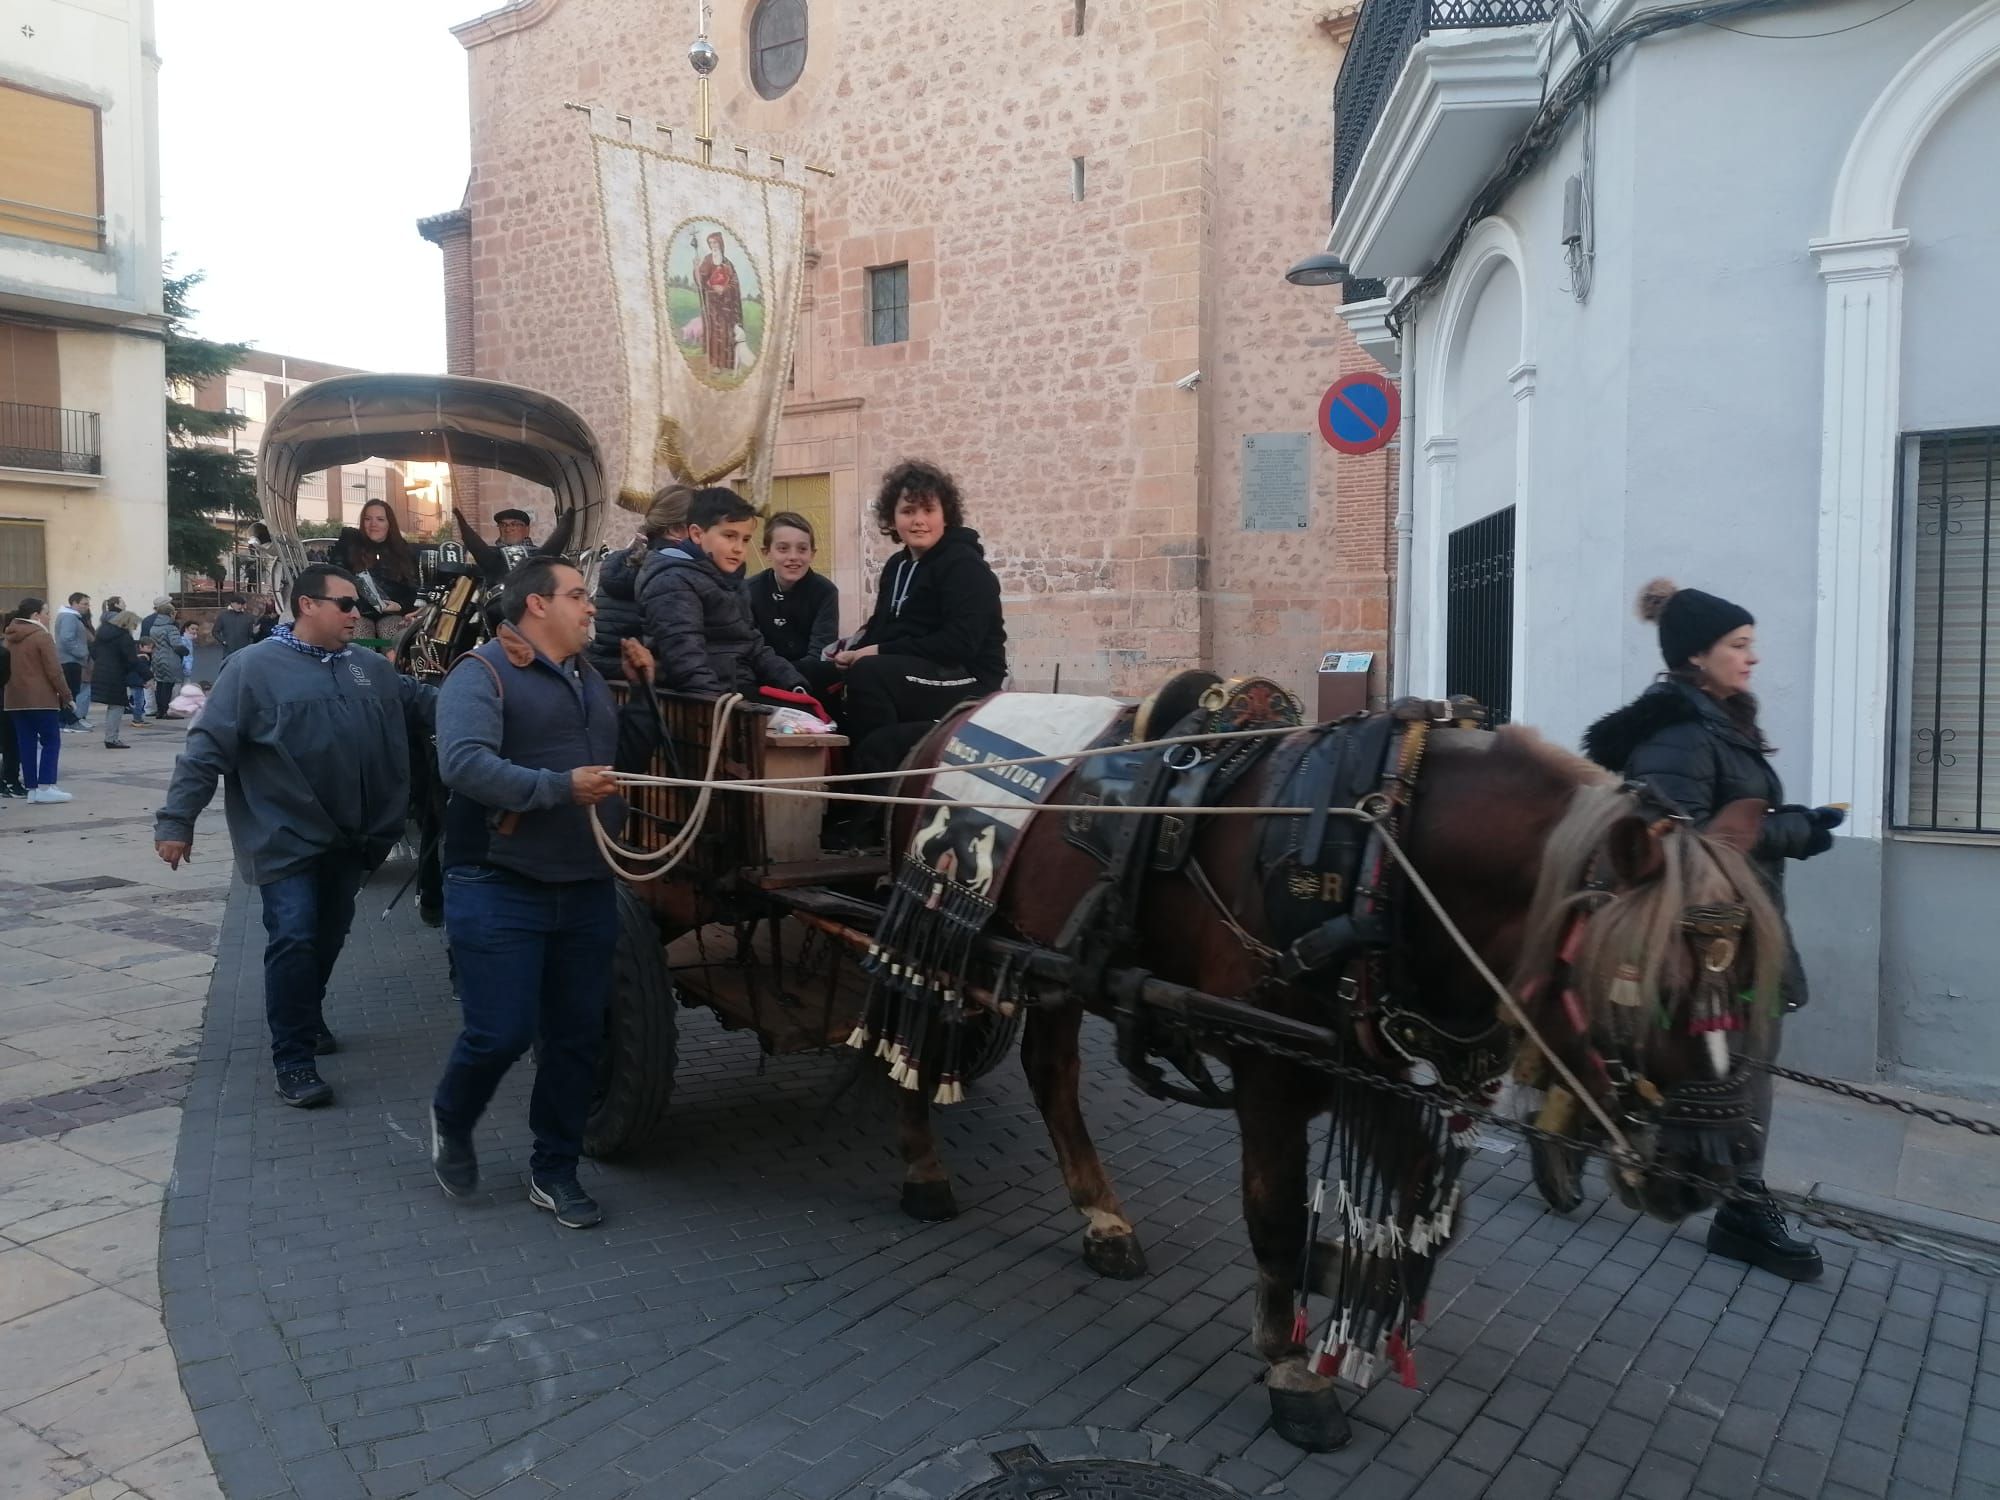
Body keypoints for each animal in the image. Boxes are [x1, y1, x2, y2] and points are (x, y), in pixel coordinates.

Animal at [876, 712, 1784, 1448]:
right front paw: (1293, 1370)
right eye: (1637, 986)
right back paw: (921, 1168)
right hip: (938, 920)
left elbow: (1428, 1217)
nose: (1710, 1165)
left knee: (1050, 1071)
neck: (1384, 858)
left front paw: (1364, 1288)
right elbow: (1276, 1218)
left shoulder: (1378, 1072)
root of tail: (946, 722)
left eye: (1751, 984)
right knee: (912, 1034)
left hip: (1051, 961)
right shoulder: (1270, 1071)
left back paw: (1101, 1219)